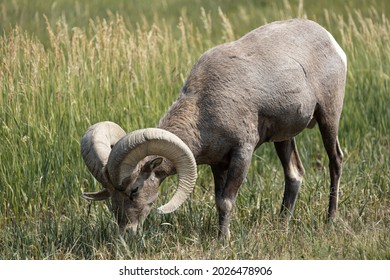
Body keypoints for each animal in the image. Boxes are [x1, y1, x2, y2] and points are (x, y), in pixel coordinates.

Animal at [80, 18, 346, 240]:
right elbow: (219, 201)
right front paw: (221, 236)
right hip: (284, 138)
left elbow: (226, 201)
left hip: (328, 117)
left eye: (134, 189)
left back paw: (330, 220)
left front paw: (223, 241)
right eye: (110, 197)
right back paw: (282, 224)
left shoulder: (242, 153)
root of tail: (331, 41)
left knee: (335, 161)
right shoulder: (218, 163)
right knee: (294, 174)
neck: (203, 109)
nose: (127, 233)